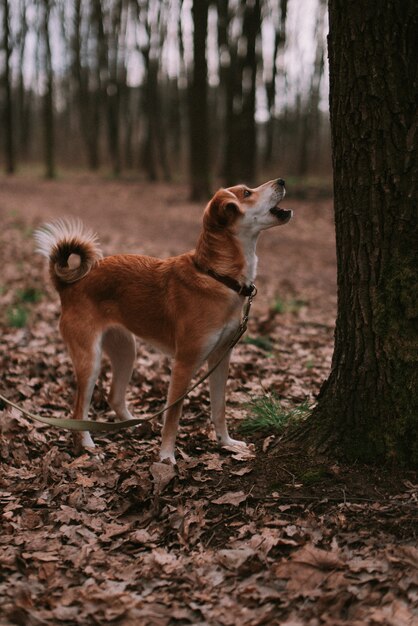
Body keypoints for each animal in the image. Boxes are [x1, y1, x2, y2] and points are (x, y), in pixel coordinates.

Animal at [35, 178, 290, 460]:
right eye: (247, 193)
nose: (281, 181)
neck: (216, 276)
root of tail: (69, 286)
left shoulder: (221, 358)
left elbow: (219, 408)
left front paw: (226, 442)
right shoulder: (184, 364)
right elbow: (174, 416)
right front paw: (167, 456)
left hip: (126, 350)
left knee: (114, 397)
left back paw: (136, 425)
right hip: (90, 360)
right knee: (78, 408)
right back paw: (88, 444)